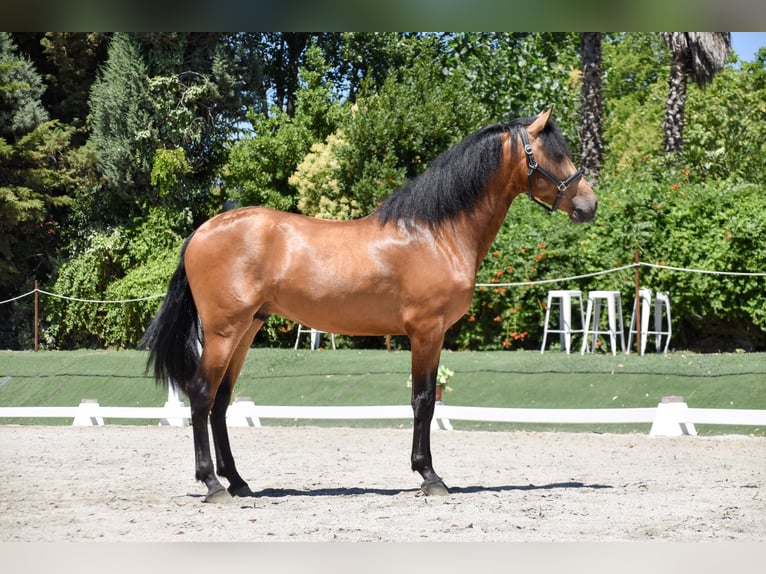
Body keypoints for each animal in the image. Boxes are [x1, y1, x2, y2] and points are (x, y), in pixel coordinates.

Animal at [142, 109, 600, 504]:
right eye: (555, 153)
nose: (589, 204)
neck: (436, 234)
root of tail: (202, 232)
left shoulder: (432, 333)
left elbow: (425, 401)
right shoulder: (426, 331)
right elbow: (423, 401)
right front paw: (430, 477)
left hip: (247, 329)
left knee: (220, 402)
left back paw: (238, 482)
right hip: (224, 331)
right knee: (202, 394)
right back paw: (213, 484)